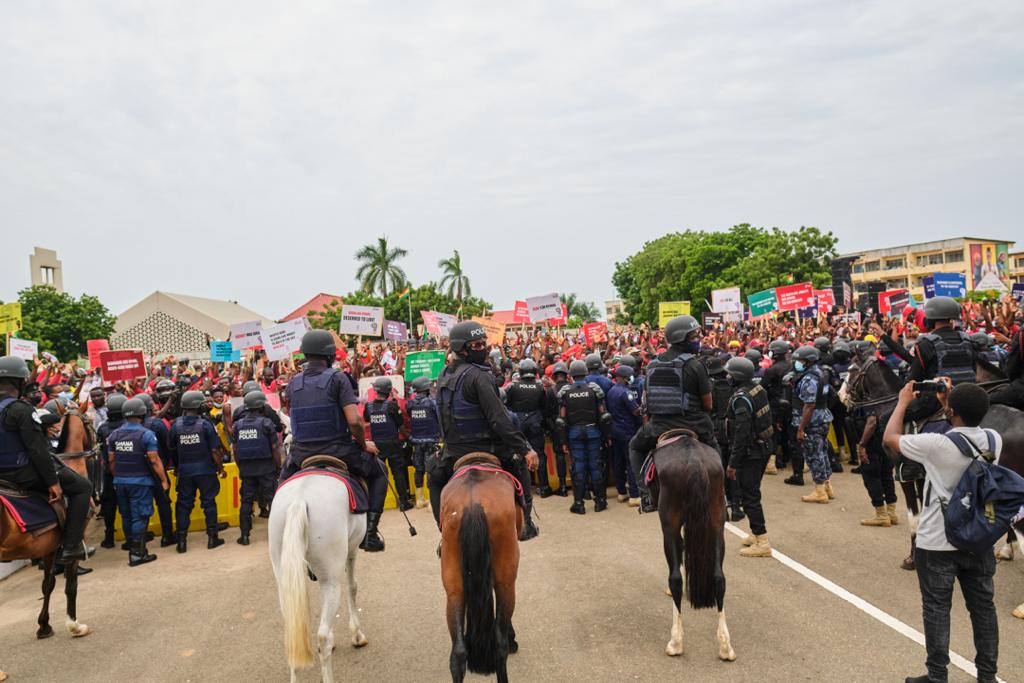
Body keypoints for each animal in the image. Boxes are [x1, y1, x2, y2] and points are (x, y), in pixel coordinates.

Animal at [0, 485, 91, 643]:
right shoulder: (73, 549)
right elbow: (71, 586)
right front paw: (74, 626)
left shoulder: (48, 549)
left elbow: (48, 585)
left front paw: (44, 626)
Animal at [270, 475, 370, 683]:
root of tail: (299, 500)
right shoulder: (352, 551)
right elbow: (353, 587)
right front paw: (357, 634)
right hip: (332, 579)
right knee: (323, 637)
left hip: (285, 581)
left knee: (293, 632)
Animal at [651, 432, 733, 663]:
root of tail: (694, 460)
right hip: (716, 521)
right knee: (719, 578)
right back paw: (725, 645)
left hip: (669, 522)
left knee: (676, 579)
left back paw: (676, 642)